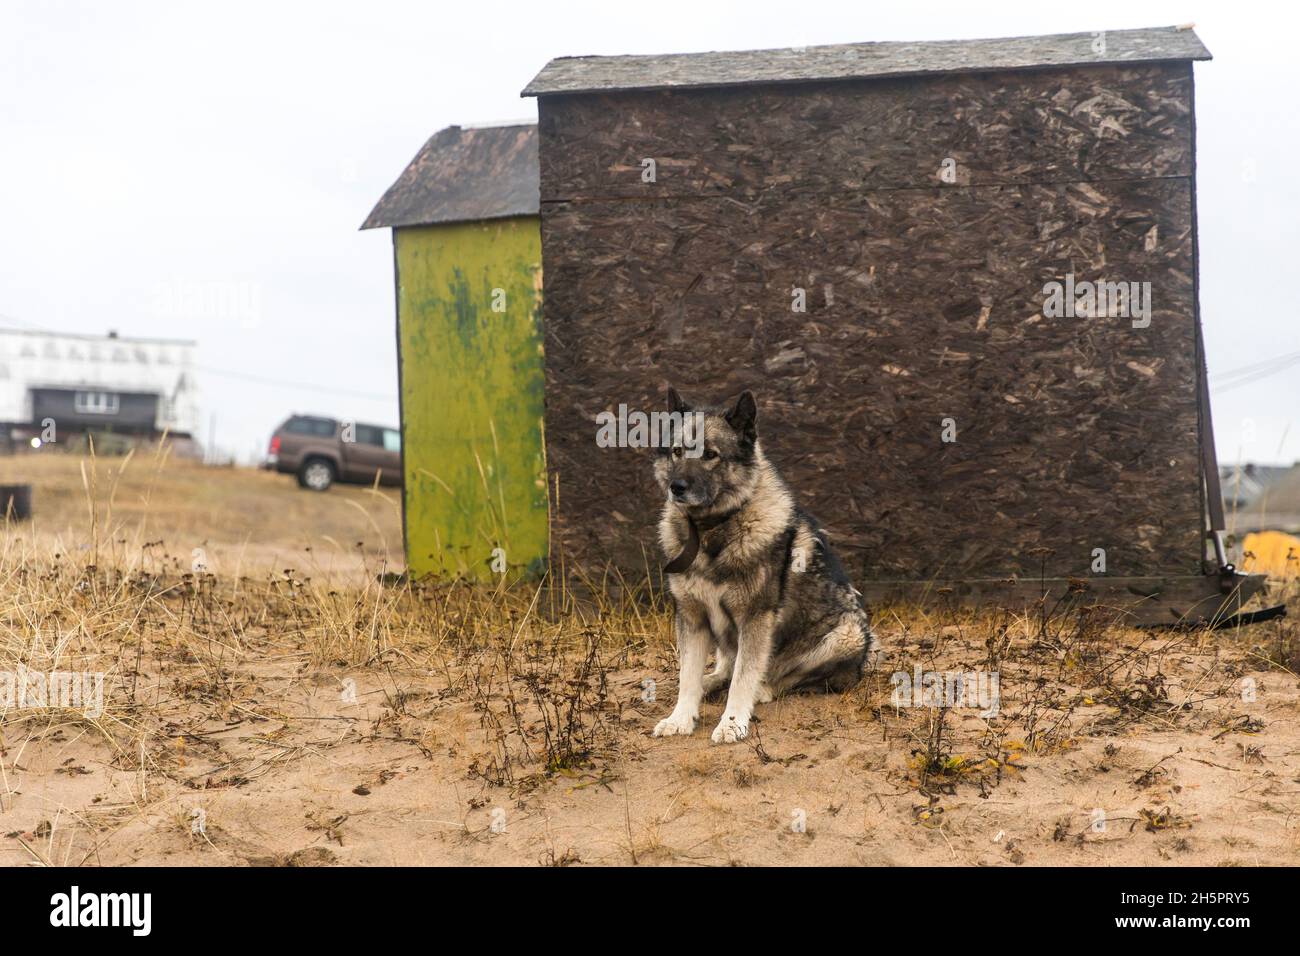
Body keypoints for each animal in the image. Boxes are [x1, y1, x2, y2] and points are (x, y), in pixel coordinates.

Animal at [650, 385, 873, 743]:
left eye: (710, 454)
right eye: (676, 452)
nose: (677, 488)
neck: (713, 530)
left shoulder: (755, 618)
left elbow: (744, 676)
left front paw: (732, 722)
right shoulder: (692, 616)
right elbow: (688, 675)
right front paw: (680, 718)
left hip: (847, 635)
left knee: (787, 678)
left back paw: (763, 689)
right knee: (725, 666)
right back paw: (711, 681)